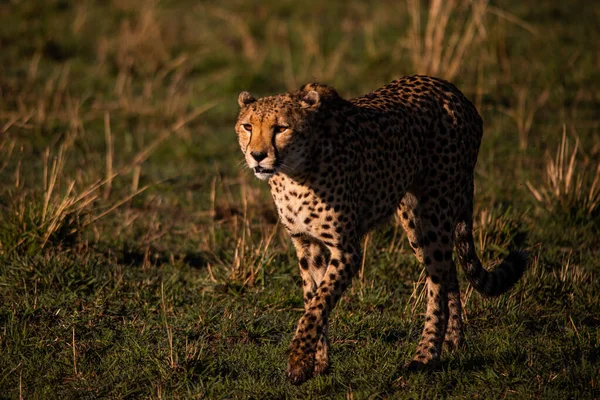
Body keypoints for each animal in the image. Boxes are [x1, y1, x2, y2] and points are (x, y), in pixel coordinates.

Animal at [234, 75, 524, 384]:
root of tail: (448, 88)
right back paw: (454, 338)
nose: (257, 156)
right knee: (448, 271)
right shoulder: (307, 245)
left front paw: (299, 359)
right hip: (414, 221)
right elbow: (313, 299)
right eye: (248, 126)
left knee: (437, 283)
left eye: (281, 128)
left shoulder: (346, 250)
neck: (293, 172)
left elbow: (317, 306)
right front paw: (318, 362)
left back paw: (425, 356)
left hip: (437, 211)